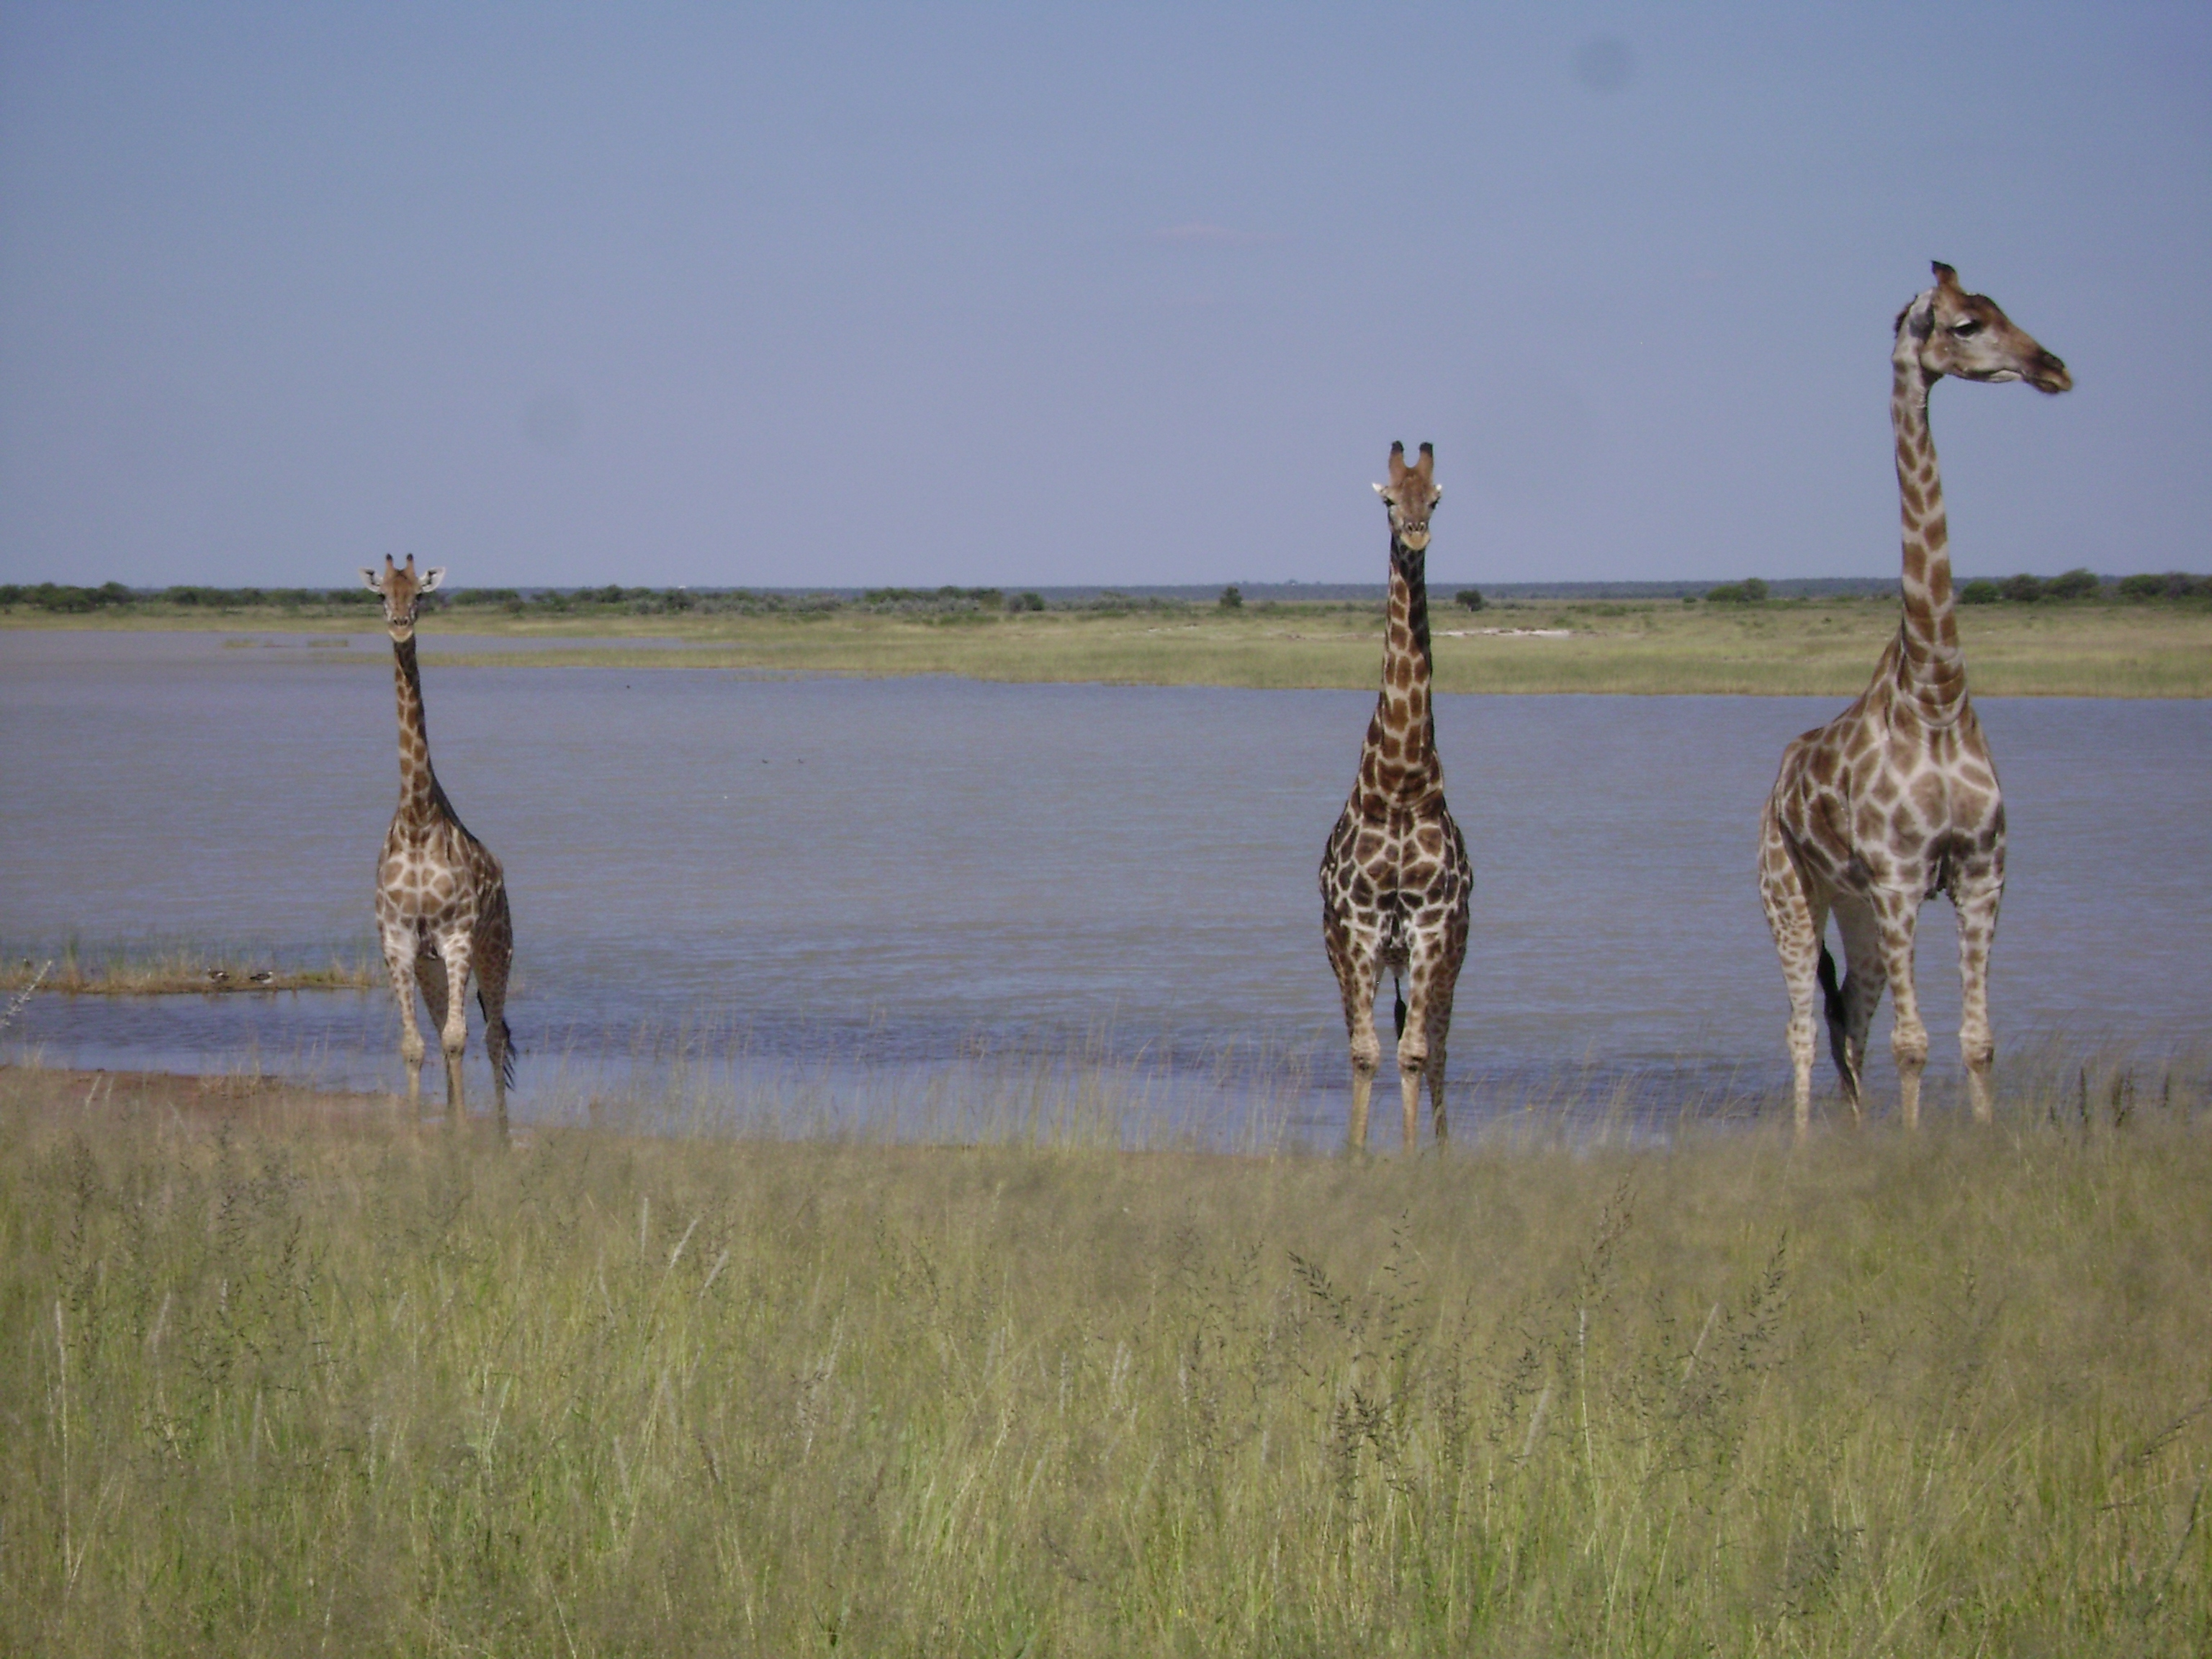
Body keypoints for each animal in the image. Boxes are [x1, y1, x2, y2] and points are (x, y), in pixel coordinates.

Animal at [362, 559, 517, 1132]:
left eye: (421, 595)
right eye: (381, 594)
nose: (401, 624)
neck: (417, 819)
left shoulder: (457, 937)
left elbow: (456, 1038)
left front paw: (463, 1132)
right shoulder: (399, 942)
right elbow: (415, 1045)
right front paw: (418, 1134)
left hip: (497, 948)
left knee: (494, 1035)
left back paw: (498, 1130)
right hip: (431, 963)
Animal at [1761, 263, 2070, 1141]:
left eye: (2003, 310)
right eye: (1966, 325)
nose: (2050, 367)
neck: (1936, 694)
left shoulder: (1982, 873)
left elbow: (1976, 1040)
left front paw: (1978, 1140)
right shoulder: (1901, 877)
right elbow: (1914, 1042)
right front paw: (1912, 1147)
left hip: (1857, 908)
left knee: (1850, 1021)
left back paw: (1858, 1130)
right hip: (1792, 893)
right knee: (1805, 1023)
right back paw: (1806, 1142)